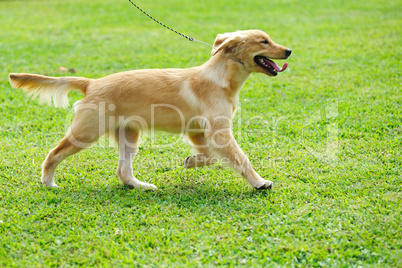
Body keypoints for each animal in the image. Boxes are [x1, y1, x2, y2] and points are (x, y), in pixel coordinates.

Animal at [7, 29, 290, 191]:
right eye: (264, 41)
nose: (288, 50)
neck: (221, 77)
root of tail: (92, 83)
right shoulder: (219, 133)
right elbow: (241, 159)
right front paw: (260, 183)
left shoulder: (199, 132)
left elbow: (209, 156)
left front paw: (191, 162)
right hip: (86, 132)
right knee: (54, 153)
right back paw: (48, 182)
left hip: (129, 135)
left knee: (122, 171)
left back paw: (139, 185)